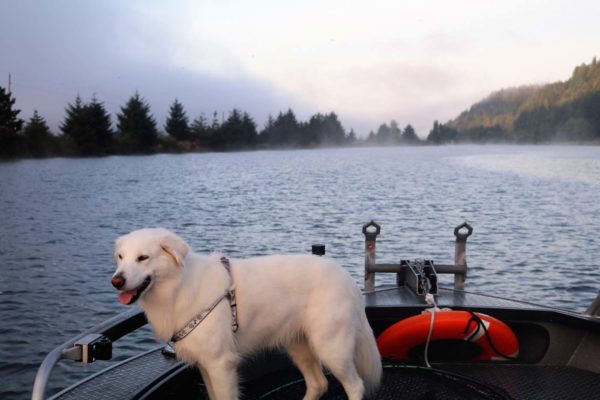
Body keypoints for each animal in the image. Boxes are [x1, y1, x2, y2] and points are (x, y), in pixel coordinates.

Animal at [112, 228, 382, 400]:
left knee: (355, 385)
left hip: (331, 348)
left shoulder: (221, 364)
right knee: (319, 384)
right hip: (299, 346)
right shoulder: (206, 365)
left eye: (143, 258)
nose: (116, 281)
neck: (178, 287)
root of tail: (344, 275)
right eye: (120, 257)